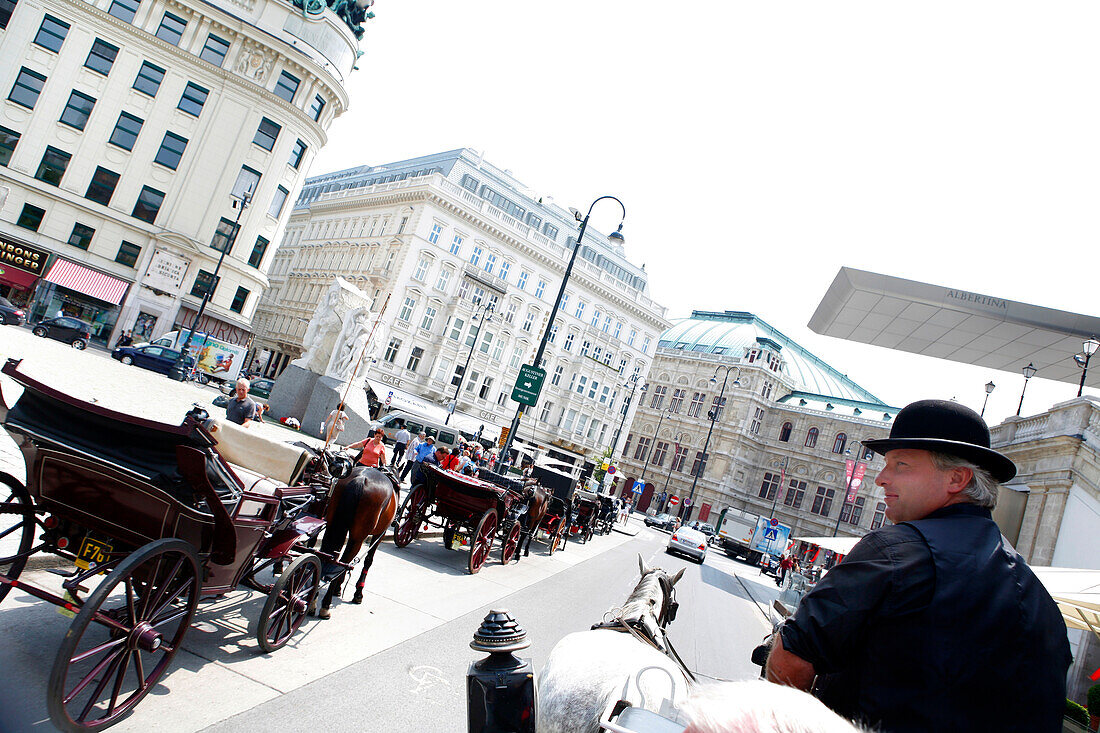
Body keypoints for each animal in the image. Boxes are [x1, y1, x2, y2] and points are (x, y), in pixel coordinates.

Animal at [319, 464, 396, 611]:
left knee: (327, 555)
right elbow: (368, 561)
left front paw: (339, 587)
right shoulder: (380, 535)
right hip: (358, 538)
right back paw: (326, 603)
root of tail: (360, 478)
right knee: (343, 562)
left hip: (332, 524)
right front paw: (358, 593)